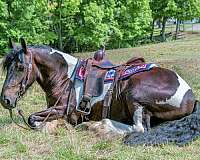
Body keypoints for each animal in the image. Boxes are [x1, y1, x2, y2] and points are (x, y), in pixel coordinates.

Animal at [0, 37, 198, 138]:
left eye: (20, 67)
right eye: (7, 66)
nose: (5, 100)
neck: (65, 77)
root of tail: (190, 96)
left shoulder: (63, 109)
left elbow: (32, 119)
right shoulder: (53, 108)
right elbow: (34, 118)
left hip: (134, 94)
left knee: (139, 128)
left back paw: (97, 125)